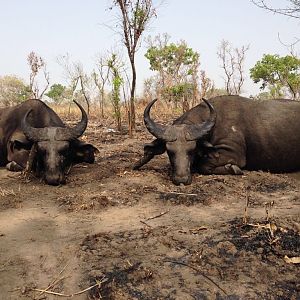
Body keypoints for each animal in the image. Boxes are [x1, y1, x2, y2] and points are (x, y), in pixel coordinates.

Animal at [135, 96, 300, 185]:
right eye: (170, 152)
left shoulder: (232, 154)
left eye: (192, 151)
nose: (181, 179)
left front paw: (233, 169)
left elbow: (204, 166)